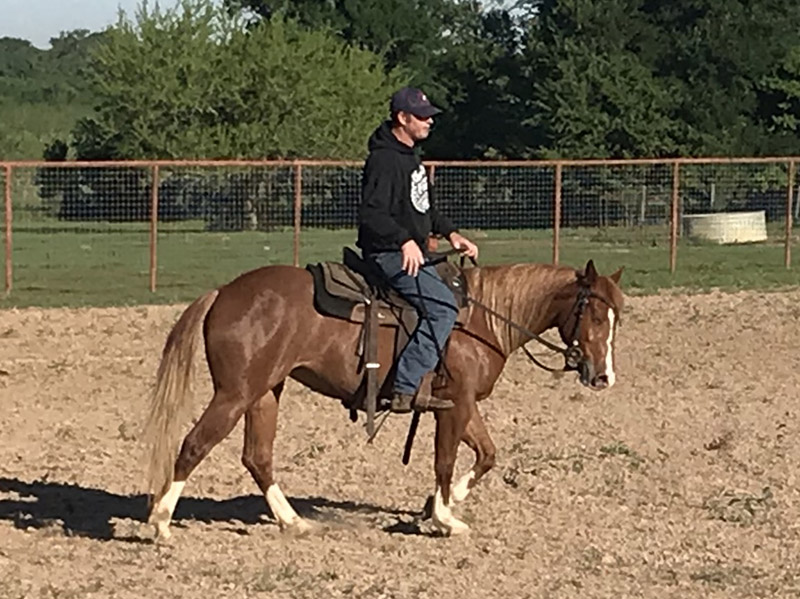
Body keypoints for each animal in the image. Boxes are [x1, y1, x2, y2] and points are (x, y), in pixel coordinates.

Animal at [141, 258, 620, 540]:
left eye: (617, 317)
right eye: (596, 315)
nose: (603, 377)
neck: (482, 319)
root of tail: (223, 292)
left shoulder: (462, 404)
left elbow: (487, 454)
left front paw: (437, 505)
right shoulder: (456, 403)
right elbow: (445, 460)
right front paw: (445, 517)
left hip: (263, 393)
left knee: (257, 457)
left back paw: (292, 521)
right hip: (234, 393)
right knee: (194, 445)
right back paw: (161, 523)